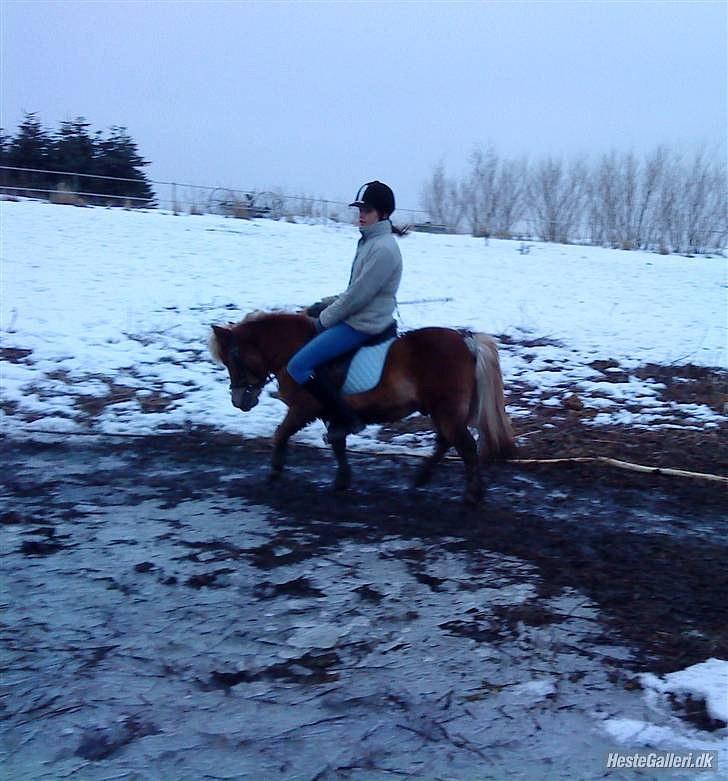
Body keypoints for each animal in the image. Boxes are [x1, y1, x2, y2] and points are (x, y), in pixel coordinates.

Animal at [210, 312, 516, 506]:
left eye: (233, 358)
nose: (239, 401)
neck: (294, 350)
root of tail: (466, 341)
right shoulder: (332, 414)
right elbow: (338, 444)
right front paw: (342, 481)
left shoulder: (302, 409)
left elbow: (281, 434)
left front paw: (274, 472)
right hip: (441, 410)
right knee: (445, 443)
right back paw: (420, 479)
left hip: (446, 410)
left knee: (464, 446)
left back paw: (472, 495)